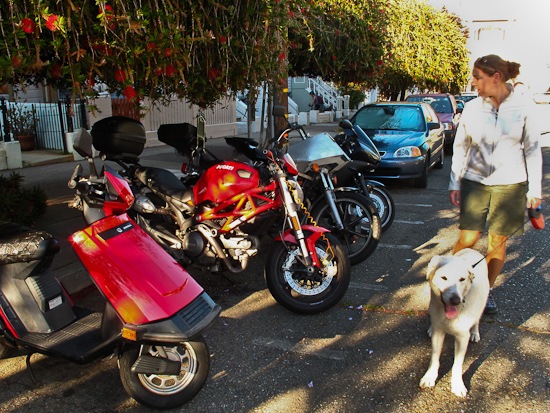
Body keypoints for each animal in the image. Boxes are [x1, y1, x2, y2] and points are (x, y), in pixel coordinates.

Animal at [422, 248, 492, 396]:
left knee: (477, 320)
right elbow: (434, 357)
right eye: (444, 278)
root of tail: (471, 250)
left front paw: (458, 385)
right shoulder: (439, 332)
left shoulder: (462, 337)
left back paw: (475, 333)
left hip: (482, 303)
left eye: (462, 279)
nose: (455, 300)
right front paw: (430, 377)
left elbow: (457, 364)